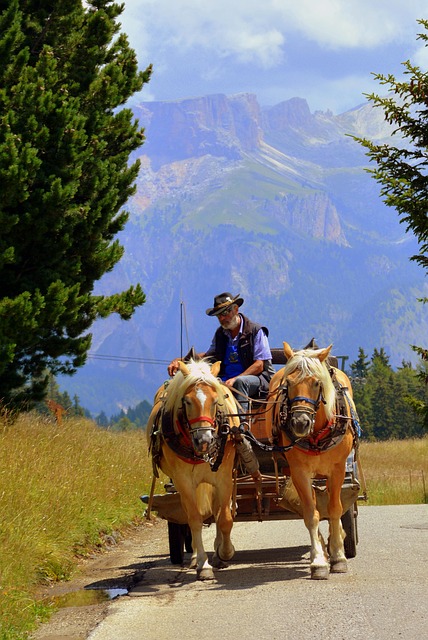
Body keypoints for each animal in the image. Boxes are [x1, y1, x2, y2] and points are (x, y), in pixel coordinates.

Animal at [147, 358, 240, 580]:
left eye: (215, 401)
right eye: (187, 401)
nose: (204, 440)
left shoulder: (223, 477)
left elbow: (224, 518)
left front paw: (226, 552)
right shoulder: (184, 482)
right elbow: (195, 519)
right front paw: (203, 565)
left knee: (216, 511)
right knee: (191, 515)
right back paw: (197, 557)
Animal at [266, 341, 358, 580]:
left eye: (317, 383)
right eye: (288, 383)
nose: (300, 422)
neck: (316, 435)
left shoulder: (337, 470)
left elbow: (335, 509)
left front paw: (338, 557)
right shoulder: (299, 472)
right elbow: (311, 514)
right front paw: (318, 561)